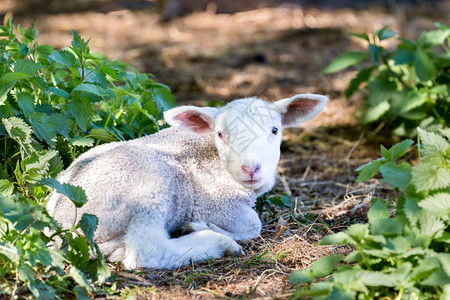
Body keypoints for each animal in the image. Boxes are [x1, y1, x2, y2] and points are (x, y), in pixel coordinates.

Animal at [45, 93, 326, 270]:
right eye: (220, 134)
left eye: (275, 130)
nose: (251, 168)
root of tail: (60, 227)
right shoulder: (217, 204)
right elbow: (252, 224)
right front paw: (203, 226)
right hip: (147, 186)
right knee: (146, 250)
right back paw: (216, 242)